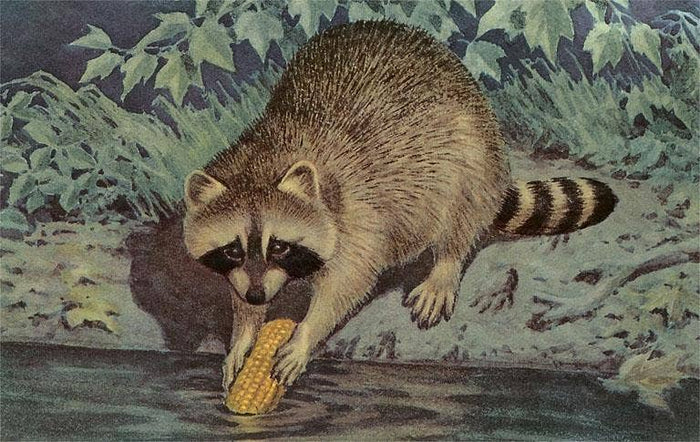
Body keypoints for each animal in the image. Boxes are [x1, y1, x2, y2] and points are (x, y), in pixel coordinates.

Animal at [182, 21, 617, 388]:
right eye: (233, 249)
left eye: (279, 246)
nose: (258, 296)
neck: (265, 160)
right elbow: (241, 289)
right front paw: (244, 331)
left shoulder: (356, 215)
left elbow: (348, 282)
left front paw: (305, 333)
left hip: (472, 150)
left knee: (461, 208)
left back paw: (446, 262)